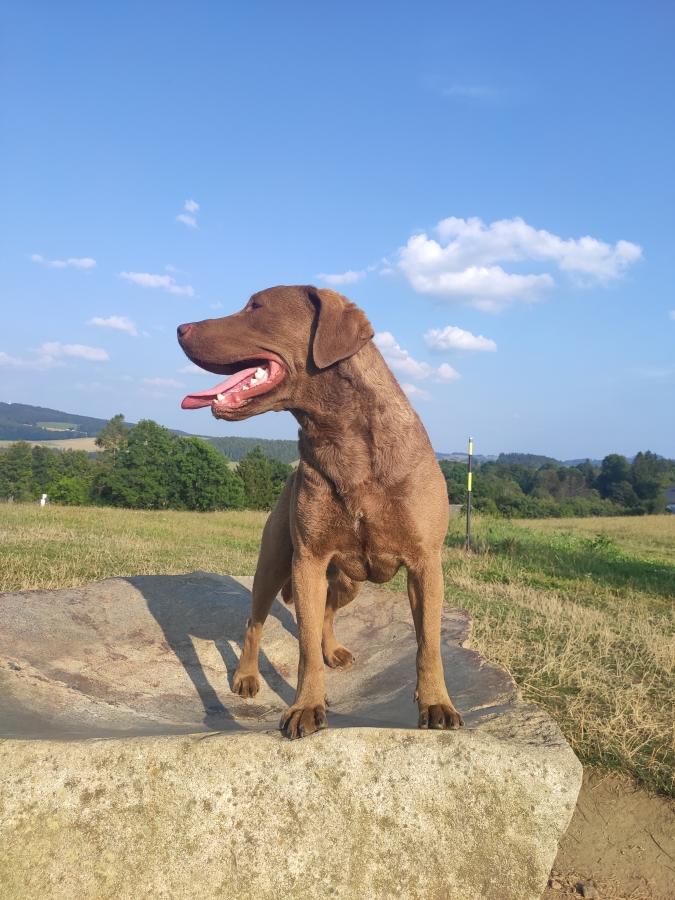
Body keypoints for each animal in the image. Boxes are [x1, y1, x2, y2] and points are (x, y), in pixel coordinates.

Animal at [178, 285, 463, 739]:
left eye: (256, 307)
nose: (180, 328)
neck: (342, 437)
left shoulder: (425, 563)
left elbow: (429, 645)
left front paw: (436, 703)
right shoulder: (308, 560)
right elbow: (305, 646)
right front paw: (306, 706)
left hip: (349, 581)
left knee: (328, 611)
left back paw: (334, 650)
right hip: (274, 563)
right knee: (255, 622)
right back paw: (246, 676)